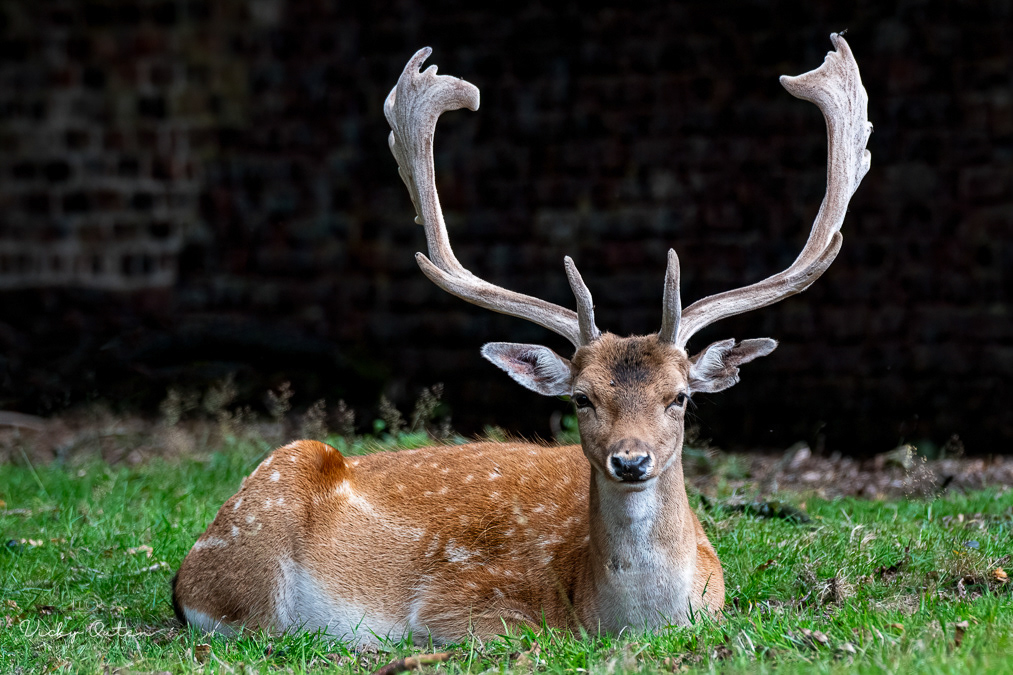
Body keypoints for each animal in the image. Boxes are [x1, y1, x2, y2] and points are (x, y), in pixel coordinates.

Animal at [172, 34, 871, 646]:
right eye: (582, 398)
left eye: (680, 397)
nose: (631, 460)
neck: (612, 616)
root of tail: (181, 579)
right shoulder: (459, 607)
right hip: (255, 553)